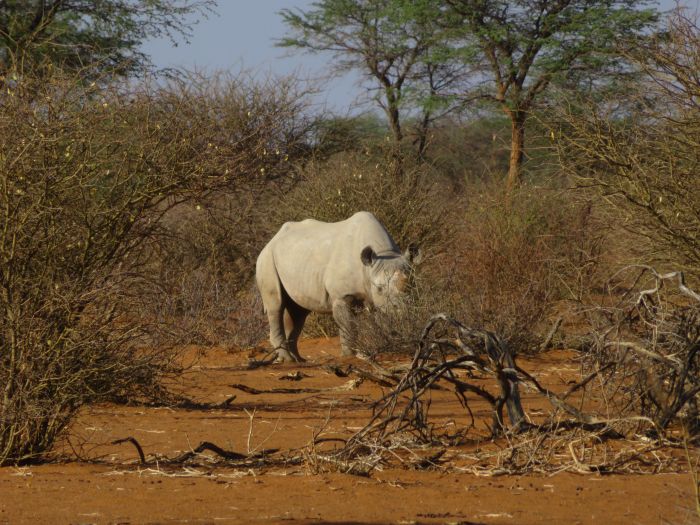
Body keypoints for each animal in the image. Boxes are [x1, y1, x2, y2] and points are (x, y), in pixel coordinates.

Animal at [258, 211, 422, 362]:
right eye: (379, 288)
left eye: (412, 286)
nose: (402, 311)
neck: (383, 253)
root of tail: (272, 239)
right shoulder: (342, 296)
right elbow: (347, 324)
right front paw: (349, 356)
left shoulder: (374, 297)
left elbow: (377, 321)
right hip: (267, 259)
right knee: (276, 305)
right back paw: (288, 360)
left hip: (295, 260)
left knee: (298, 312)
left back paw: (299, 360)